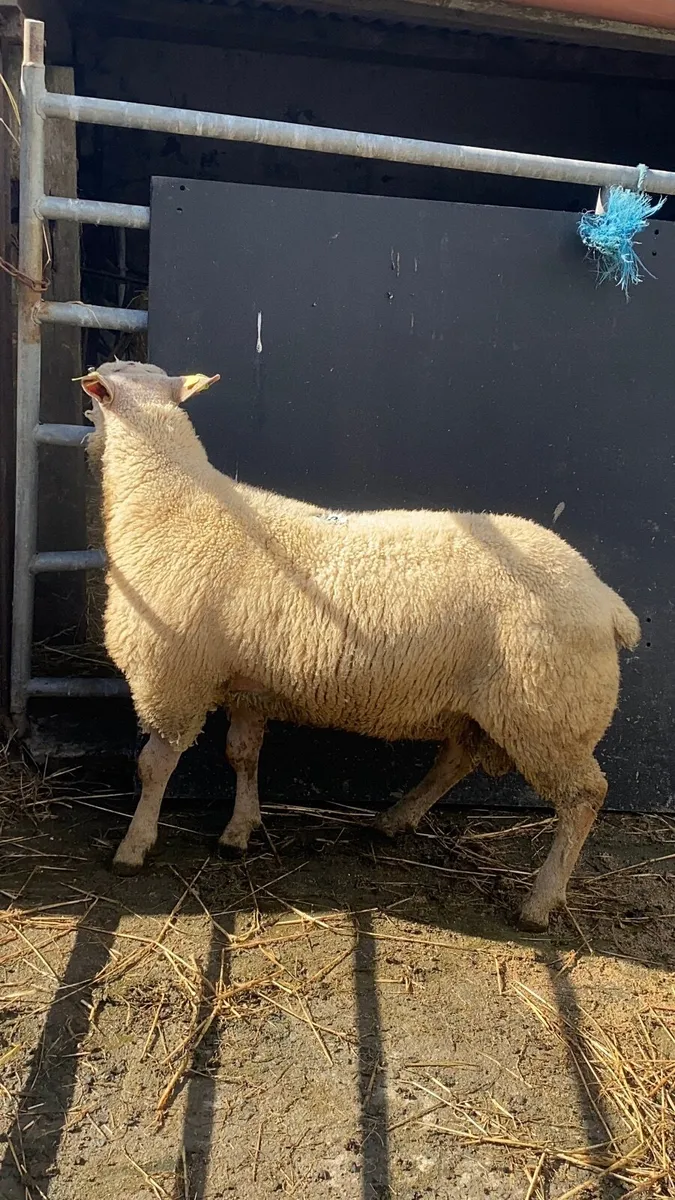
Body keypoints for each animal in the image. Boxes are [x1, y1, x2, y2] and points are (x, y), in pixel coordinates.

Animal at [81, 360, 640, 931]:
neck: (171, 503)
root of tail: (606, 601)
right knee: (455, 761)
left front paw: (134, 847)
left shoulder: (172, 678)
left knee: (584, 798)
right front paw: (240, 830)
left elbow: (156, 765)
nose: (85, 436)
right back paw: (395, 820)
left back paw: (540, 902)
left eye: (97, 395)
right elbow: (243, 755)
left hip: (549, 714)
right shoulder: (246, 683)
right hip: (489, 706)